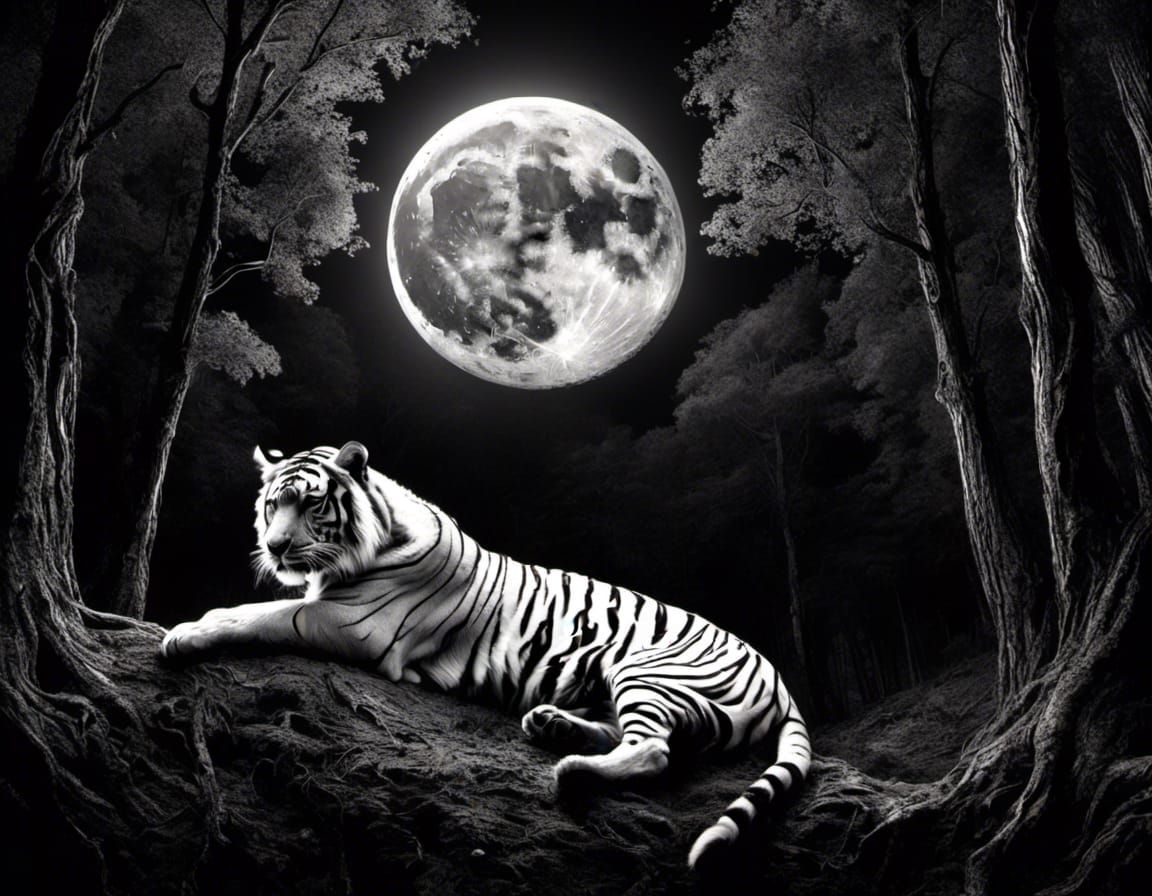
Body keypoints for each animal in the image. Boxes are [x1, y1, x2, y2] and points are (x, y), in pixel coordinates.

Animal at [159, 441, 811, 868]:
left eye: (312, 504)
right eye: (273, 505)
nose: (273, 547)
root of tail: (782, 680)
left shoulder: (353, 623)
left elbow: (261, 615)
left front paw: (184, 633)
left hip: (647, 671)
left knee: (653, 750)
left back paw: (572, 771)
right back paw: (550, 724)